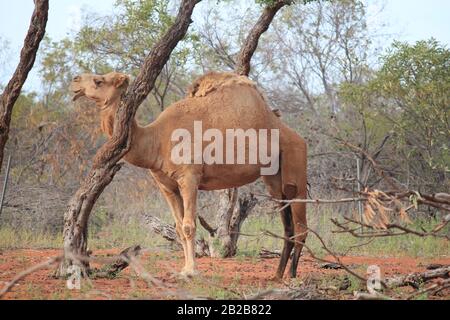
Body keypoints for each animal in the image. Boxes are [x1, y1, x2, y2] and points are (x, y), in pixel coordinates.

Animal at [71, 71, 310, 278]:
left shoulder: (189, 178)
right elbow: (177, 227)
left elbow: (188, 225)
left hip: (295, 166)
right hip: (273, 179)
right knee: (287, 225)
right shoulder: (166, 185)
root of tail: (296, 136)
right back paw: (277, 275)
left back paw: (291, 275)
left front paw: (191, 271)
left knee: (300, 226)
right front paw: (183, 269)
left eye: (99, 81)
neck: (156, 140)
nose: (75, 81)